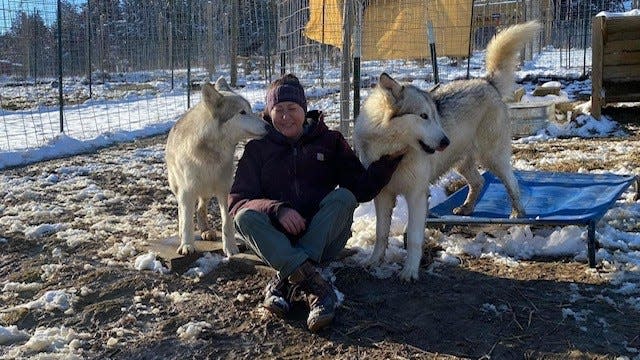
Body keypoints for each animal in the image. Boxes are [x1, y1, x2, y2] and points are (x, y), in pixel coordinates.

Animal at [166, 77, 268, 256]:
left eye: (250, 109)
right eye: (242, 112)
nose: (268, 126)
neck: (211, 153)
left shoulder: (225, 189)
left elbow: (227, 221)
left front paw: (231, 248)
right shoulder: (187, 191)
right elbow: (187, 221)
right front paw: (187, 245)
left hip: (206, 191)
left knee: (201, 209)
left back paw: (206, 231)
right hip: (180, 189)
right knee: (182, 211)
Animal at [352, 21, 536, 282]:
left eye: (434, 116)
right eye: (423, 116)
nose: (445, 141)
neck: (393, 152)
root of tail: (485, 81)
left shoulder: (417, 195)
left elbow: (415, 239)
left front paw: (409, 272)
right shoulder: (383, 195)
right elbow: (381, 234)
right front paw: (374, 261)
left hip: (492, 158)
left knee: (512, 181)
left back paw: (517, 213)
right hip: (462, 164)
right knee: (479, 182)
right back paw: (466, 208)